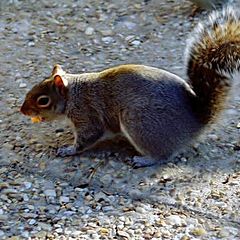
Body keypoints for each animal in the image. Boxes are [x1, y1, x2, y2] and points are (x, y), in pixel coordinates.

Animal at [20, 8, 240, 168]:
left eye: (43, 100)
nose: (23, 111)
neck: (73, 94)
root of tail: (196, 122)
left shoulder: (86, 113)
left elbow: (89, 136)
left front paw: (68, 150)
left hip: (138, 122)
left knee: (163, 155)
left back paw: (144, 160)